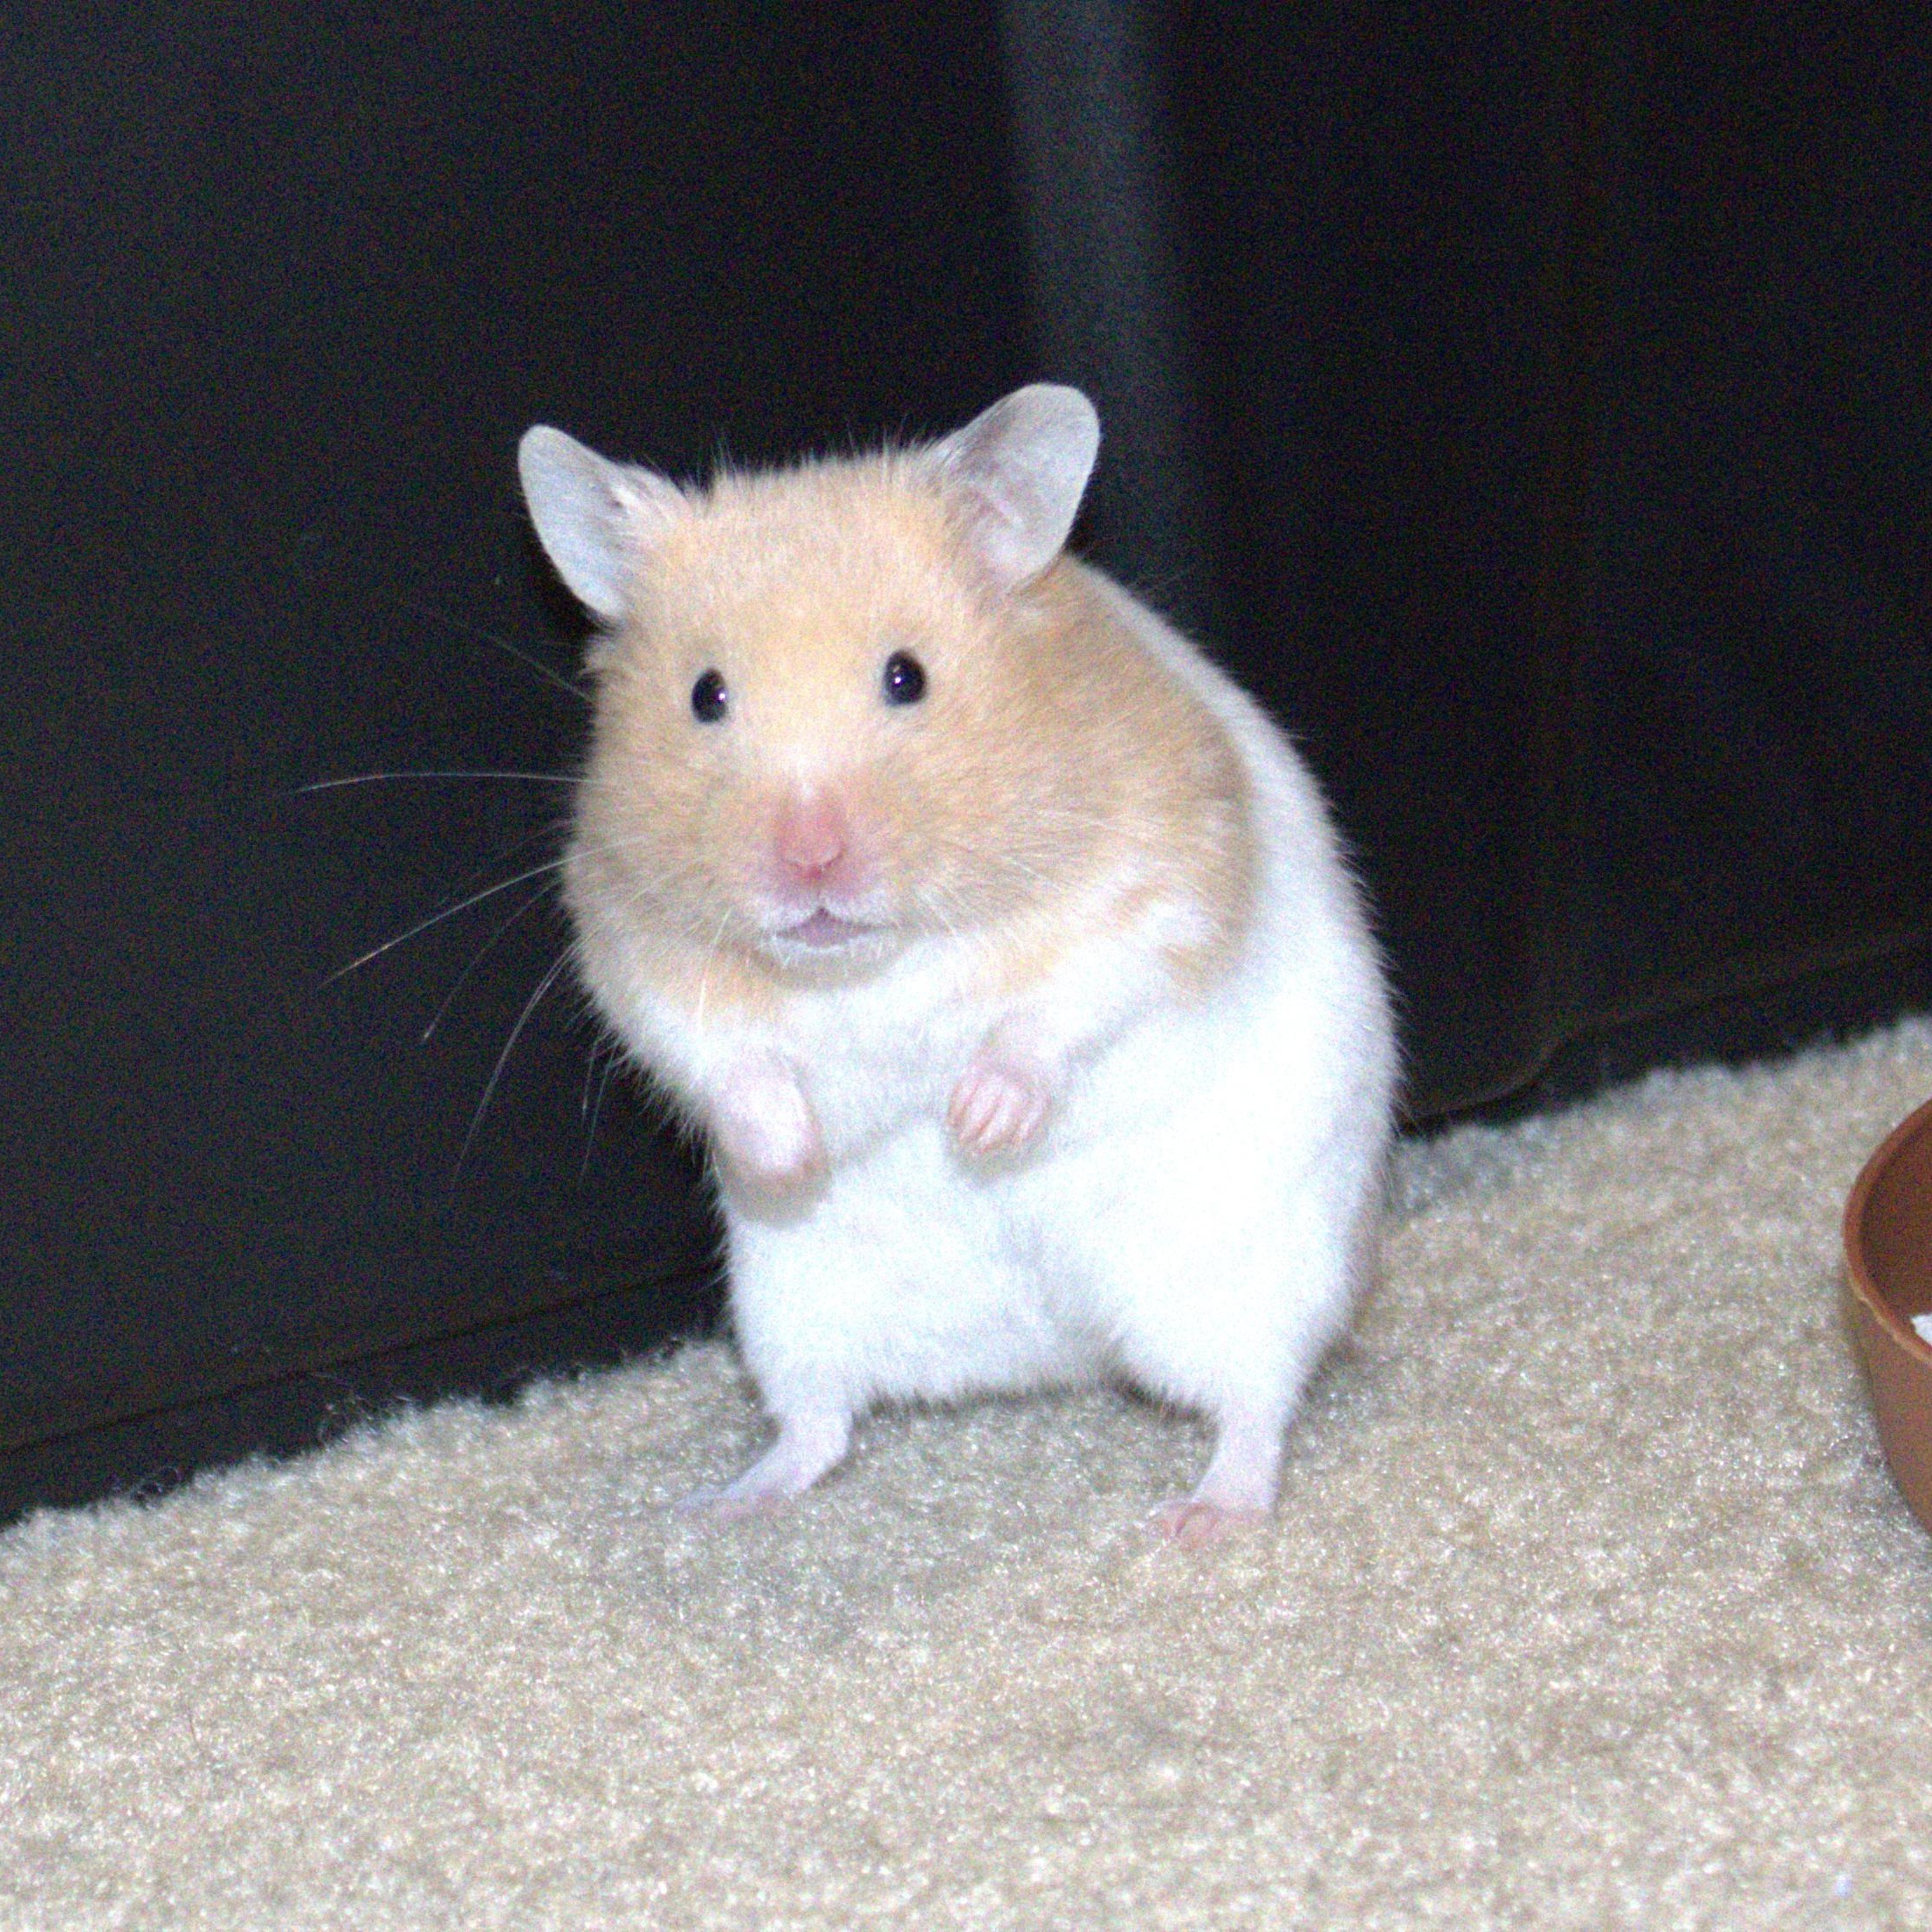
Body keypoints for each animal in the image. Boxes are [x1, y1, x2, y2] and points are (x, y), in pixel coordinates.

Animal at [517, 385, 1397, 1544]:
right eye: (705, 695)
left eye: (908, 677)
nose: (809, 862)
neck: (871, 959)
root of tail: (1050, 1350)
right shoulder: (628, 934)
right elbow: (727, 1060)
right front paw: (791, 1157)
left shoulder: (1158, 876)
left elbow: (1059, 1006)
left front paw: (973, 1125)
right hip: (791, 1303)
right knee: (817, 1426)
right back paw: (719, 1504)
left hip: (1244, 1267)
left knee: (1254, 1403)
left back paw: (1201, 1517)